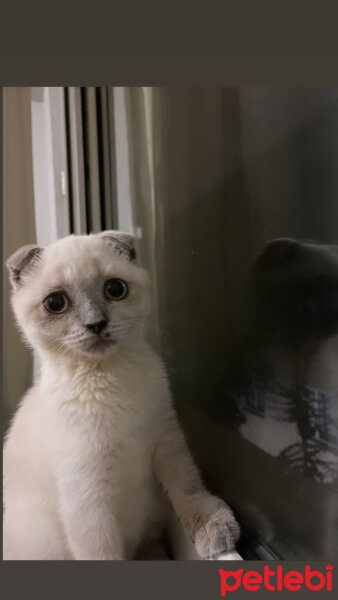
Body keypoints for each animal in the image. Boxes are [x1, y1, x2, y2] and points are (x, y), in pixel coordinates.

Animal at [3, 232, 240, 560]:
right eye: (55, 303)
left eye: (115, 289)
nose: (96, 324)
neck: (109, 376)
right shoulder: (89, 500)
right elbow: (104, 554)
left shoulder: (165, 437)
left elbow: (187, 484)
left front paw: (213, 528)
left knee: (150, 545)